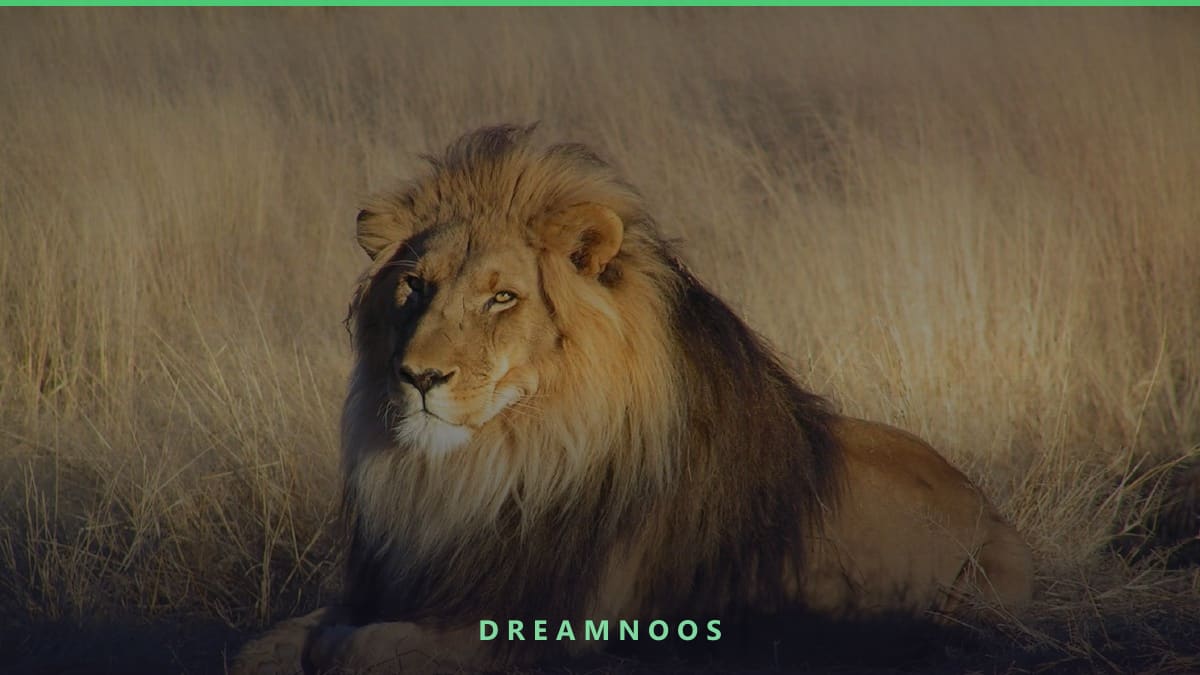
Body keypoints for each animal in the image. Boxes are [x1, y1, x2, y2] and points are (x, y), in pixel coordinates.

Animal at [233, 124, 1033, 675]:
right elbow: (261, 645)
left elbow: (359, 646)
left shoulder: (539, 624)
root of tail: (988, 503)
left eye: (502, 297)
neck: (481, 470)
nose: (419, 377)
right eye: (413, 285)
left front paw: (337, 646)